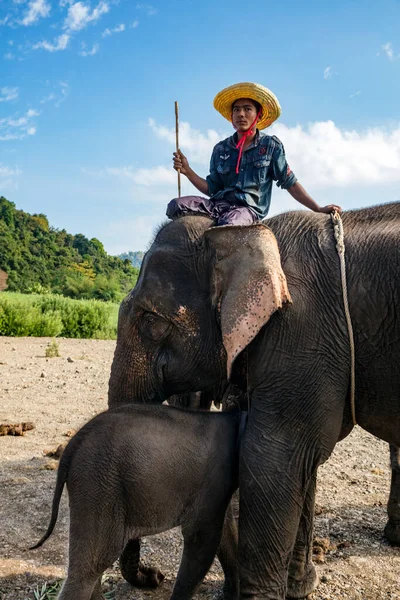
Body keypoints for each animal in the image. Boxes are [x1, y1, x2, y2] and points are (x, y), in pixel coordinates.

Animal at [31, 404, 242, 600]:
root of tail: (72, 446)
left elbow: (225, 533)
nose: (157, 576)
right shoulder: (212, 483)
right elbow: (203, 537)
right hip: (98, 486)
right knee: (92, 565)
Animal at [108, 204, 398, 596]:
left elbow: (274, 459)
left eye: (152, 321)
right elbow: (304, 462)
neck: (242, 236)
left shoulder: (299, 332)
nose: (154, 576)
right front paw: (299, 589)